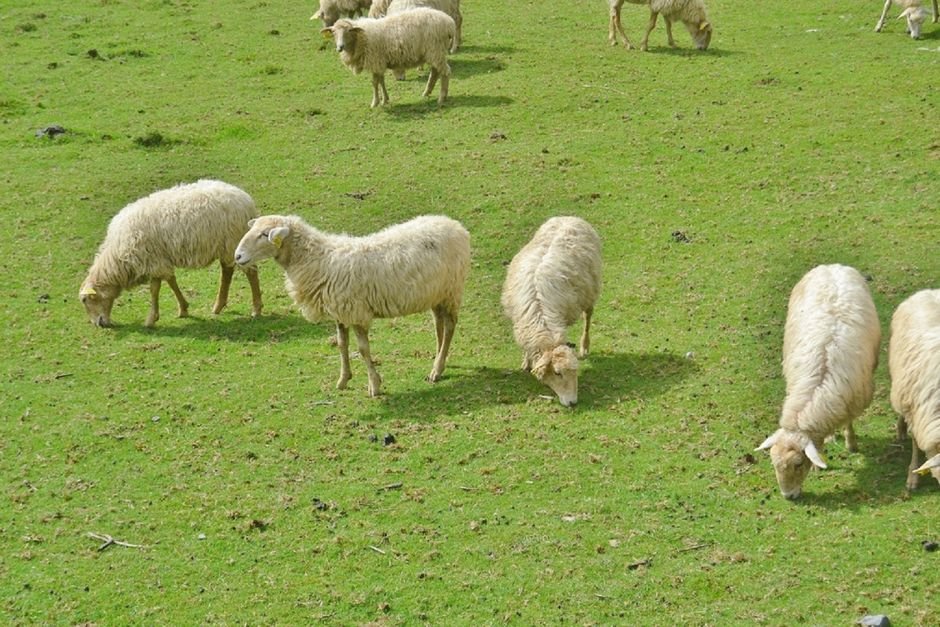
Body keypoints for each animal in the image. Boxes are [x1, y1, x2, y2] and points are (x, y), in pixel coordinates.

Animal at [79, 180, 263, 328]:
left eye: (85, 300)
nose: (99, 324)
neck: (117, 259)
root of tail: (246, 199)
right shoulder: (157, 260)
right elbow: (169, 281)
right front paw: (183, 308)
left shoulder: (152, 261)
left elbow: (155, 289)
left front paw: (151, 319)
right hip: (225, 246)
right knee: (227, 270)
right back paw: (218, 306)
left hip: (234, 241)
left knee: (251, 272)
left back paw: (256, 309)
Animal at [233, 214, 470, 397]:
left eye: (265, 234)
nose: (237, 256)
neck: (319, 260)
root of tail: (455, 225)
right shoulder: (340, 312)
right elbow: (342, 344)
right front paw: (343, 380)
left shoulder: (356, 311)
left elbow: (363, 349)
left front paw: (374, 385)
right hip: (436, 294)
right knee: (439, 325)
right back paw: (439, 361)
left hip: (451, 290)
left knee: (449, 326)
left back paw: (437, 369)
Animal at [321, 8, 455, 108]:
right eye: (333, 32)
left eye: (348, 31)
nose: (340, 47)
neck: (361, 38)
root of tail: (449, 22)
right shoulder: (380, 62)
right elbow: (381, 81)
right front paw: (385, 100)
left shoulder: (375, 60)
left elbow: (375, 82)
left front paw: (374, 103)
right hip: (433, 52)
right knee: (435, 72)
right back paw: (427, 92)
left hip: (436, 50)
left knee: (445, 72)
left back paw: (441, 98)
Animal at [501, 217, 602, 407]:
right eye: (557, 373)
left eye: (574, 372)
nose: (572, 402)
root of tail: (570, 217)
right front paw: (526, 362)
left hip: (590, 292)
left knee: (587, 318)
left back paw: (585, 346)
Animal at [756, 264, 881, 499]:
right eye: (774, 463)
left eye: (798, 464)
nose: (789, 496)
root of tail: (833, 266)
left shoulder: (852, 400)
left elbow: (849, 422)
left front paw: (851, 443)